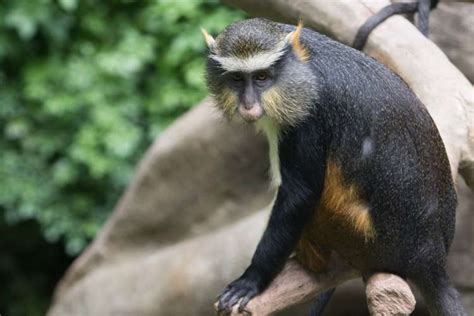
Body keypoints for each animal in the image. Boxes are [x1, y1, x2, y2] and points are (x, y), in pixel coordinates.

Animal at [202, 17, 464, 316]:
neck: (301, 58)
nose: (248, 104)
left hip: (360, 240)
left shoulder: (307, 114)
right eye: (237, 79)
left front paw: (252, 279)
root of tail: (431, 258)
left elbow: (299, 194)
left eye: (261, 77)